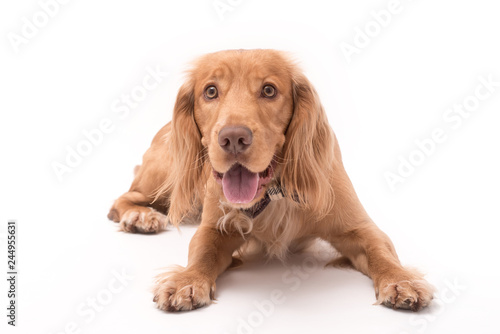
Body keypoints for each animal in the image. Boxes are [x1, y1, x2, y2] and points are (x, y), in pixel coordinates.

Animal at [108, 48, 434, 312]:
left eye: (268, 90)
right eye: (210, 91)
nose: (233, 138)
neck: (273, 191)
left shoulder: (359, 228)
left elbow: (382, 253)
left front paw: (400, 281)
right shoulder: (213, 228)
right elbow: (202, 252)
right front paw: (188, 281)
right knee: (126, 197)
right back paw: (140, 216)